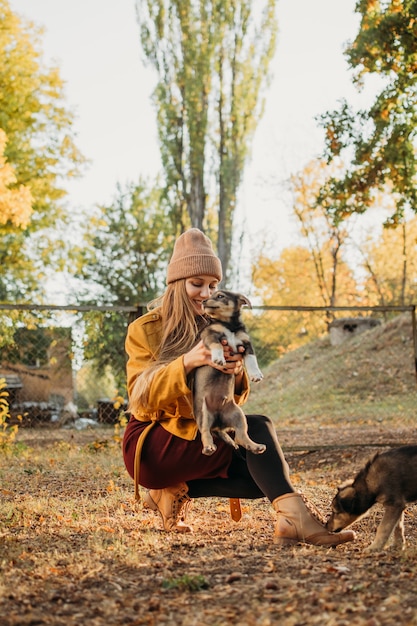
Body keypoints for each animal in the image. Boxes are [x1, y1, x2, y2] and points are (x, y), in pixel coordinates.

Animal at [193, 288, 266, 454]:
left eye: (220, 296)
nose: (203, 301)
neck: (229, 326)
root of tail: (218, 423)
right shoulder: (210, 335)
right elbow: (217, 346)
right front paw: (219, 358)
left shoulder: (246, 344)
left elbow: (252, 359)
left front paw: (256, 375)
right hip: (203, 414)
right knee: (206, 432)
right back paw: (208, 447)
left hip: (238, 415)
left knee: (240, 435)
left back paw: (255, 446)